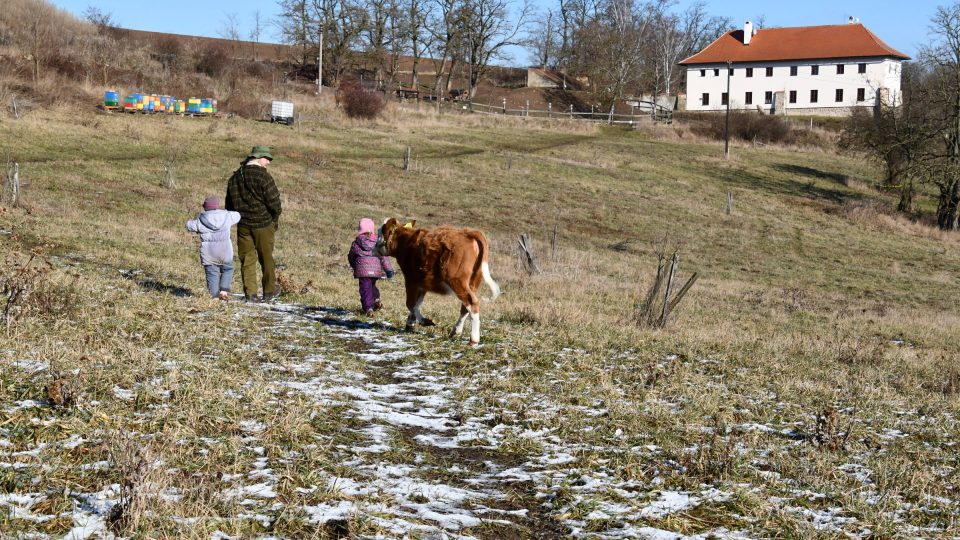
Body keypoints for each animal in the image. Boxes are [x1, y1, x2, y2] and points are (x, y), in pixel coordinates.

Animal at [374, 217, 502, 344]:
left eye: (380, 232)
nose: (373, 247)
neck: (405, 241)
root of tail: (468, 233)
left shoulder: (411, 280)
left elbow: (410, 304)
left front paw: (424, 321)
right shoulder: (422, 283)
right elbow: (417, 303)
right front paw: (410, 324)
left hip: (456, 280)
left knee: (471, 303)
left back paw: (473, 340)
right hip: (473, 282)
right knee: (465, 307)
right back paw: (455, 332)